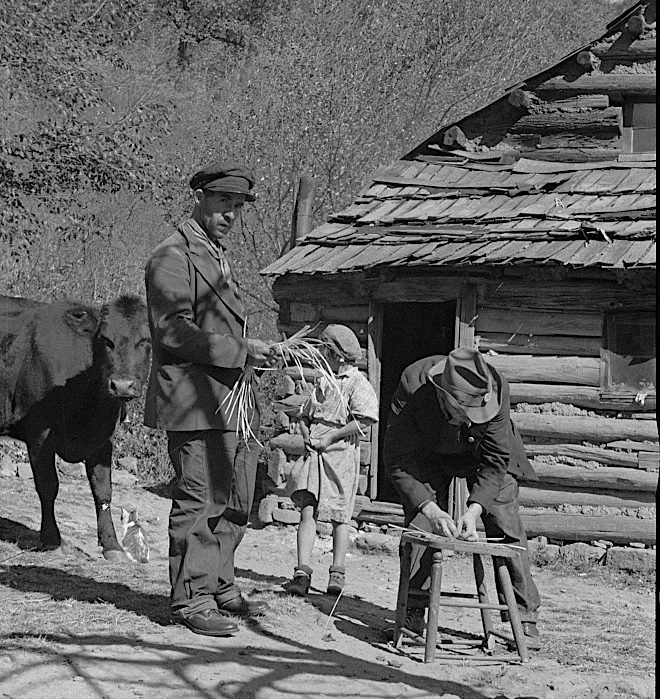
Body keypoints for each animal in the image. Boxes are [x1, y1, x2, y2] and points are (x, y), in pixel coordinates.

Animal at [0, 296, 151, 564]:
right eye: (105, 340)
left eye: (146, 341)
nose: (122, 384)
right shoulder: (40, 436)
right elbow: (48, 486)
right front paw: (52, 539)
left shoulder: (103, 440)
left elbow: (103, 491)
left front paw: (112, 544)